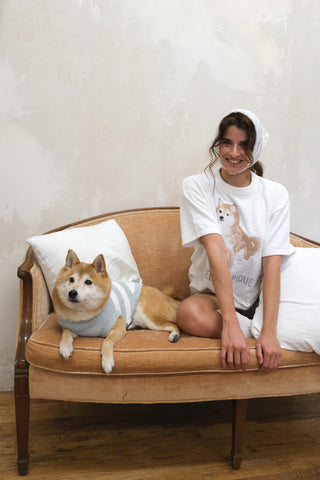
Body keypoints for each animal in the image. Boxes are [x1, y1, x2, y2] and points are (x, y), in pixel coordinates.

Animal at [53, 249, 181, 376]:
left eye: (88, 282)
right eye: (71, 280)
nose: (72, 293)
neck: (82, 314)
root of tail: (165, 295)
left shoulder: (118, 327)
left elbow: (107, 341)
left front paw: (107, 361)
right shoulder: (72, 327)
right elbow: (66, 333)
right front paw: (65, 347)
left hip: (148, 317)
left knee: (174, 325)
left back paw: (174, 335)